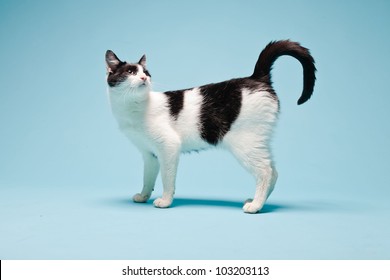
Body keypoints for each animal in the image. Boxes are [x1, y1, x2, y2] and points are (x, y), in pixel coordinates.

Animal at [105, 40, 316, 214]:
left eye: (146, 73)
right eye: (131, 72)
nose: (144, 79)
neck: (135, 107)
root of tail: (257, 77)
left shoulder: (169, 147)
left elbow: (167, 178)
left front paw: (165, 200)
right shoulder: (150, 155)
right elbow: (147, 178)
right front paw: (143, 196)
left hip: (246, 144)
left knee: (265, 172)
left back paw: (255, 206)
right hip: (259, 141)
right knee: (274, 171)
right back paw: (258, 201)